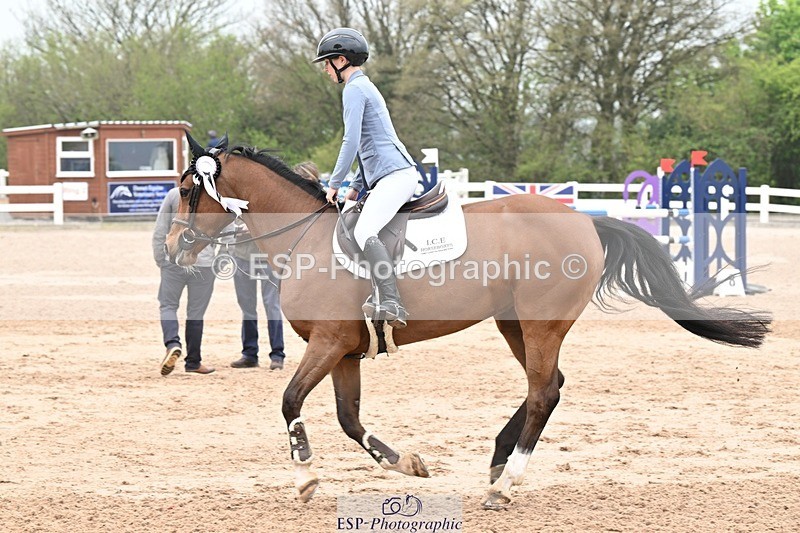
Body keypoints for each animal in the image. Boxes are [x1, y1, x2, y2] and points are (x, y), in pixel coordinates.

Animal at [164, 133, 771, 509]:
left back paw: (506, 485)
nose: (173, 247)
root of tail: (586, 221)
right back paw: (499, 462)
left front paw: (308, 478)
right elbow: (348, 419)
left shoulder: (329, 343)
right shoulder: (342, 349)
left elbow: (291, 402)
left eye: (188, 190)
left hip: (540, 323)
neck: (304, 235)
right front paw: (407, 464)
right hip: (513, 324)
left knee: (543, 391)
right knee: (548, 387)